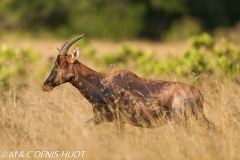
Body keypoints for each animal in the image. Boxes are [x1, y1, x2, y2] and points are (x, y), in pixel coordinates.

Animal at [42, 34, 213, 134]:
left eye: (62, 63)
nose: (45, 85)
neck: (101, 82)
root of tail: (198, 93)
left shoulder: (111, 118)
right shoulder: (108, 119)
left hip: (183, 120)